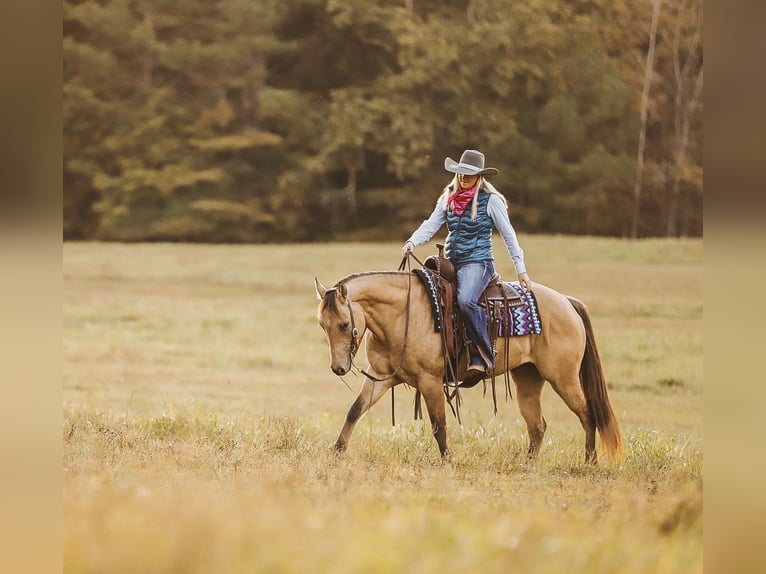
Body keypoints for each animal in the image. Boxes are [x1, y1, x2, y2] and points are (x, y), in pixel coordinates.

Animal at [316, 268, 628, 466]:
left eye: (344, 324)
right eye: (322, 324)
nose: (338, 368)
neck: (403, 314)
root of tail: (567, 302)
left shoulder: (430, 381)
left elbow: (438, 424)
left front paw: (447, 460)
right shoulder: (380, 377)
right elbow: (355, 410)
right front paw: (337, 451)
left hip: (563, 378)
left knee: (587, 415)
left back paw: (590, 461)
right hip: (528, 378)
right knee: (537, 425)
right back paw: (528, 464)